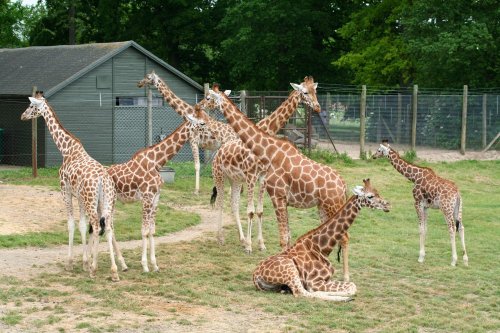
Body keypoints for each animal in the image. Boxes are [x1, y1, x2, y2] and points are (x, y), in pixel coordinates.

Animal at [21, 91, 127, 280]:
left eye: (32, 106)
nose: (23, 115)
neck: (67, 150)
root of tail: (103, 180)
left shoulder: (65, 191)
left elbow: (72, 224)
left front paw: (72, 263)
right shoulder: (80, 197)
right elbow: (83, 226)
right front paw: (85, 262)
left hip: (92, 201)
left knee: (98, 225)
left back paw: (95, 269)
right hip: (106, 201)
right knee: (108, 227)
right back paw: (114, 271)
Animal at [106, 115, 200, 272]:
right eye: (201, 124)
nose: (212, 136)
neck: (156, 162)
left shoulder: (156, 197)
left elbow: (151, 230)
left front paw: (154, 264)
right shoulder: (147, 197)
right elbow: (144, 230)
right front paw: (145, 265)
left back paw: (122, 264)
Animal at [254, 179, 390, 300]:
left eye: (378, 192)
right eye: (370, 196)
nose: (387, 205)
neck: (321, 248)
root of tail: (255, 276)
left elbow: (351, 286)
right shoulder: (315, 281)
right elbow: (352, 286)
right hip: (290, 270)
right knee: (301, 293)